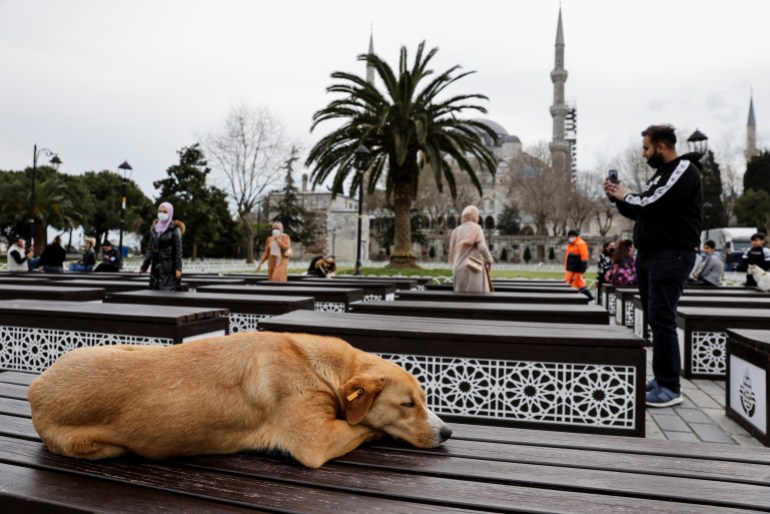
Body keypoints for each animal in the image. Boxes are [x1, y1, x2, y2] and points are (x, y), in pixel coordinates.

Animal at [28, 330, 450, 466]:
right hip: (100, 447)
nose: (447, 433)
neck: (317, 366)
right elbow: (363, 426)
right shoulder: (316, 442)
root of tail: (35, 388)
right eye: (408, 405)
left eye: (425, 398)